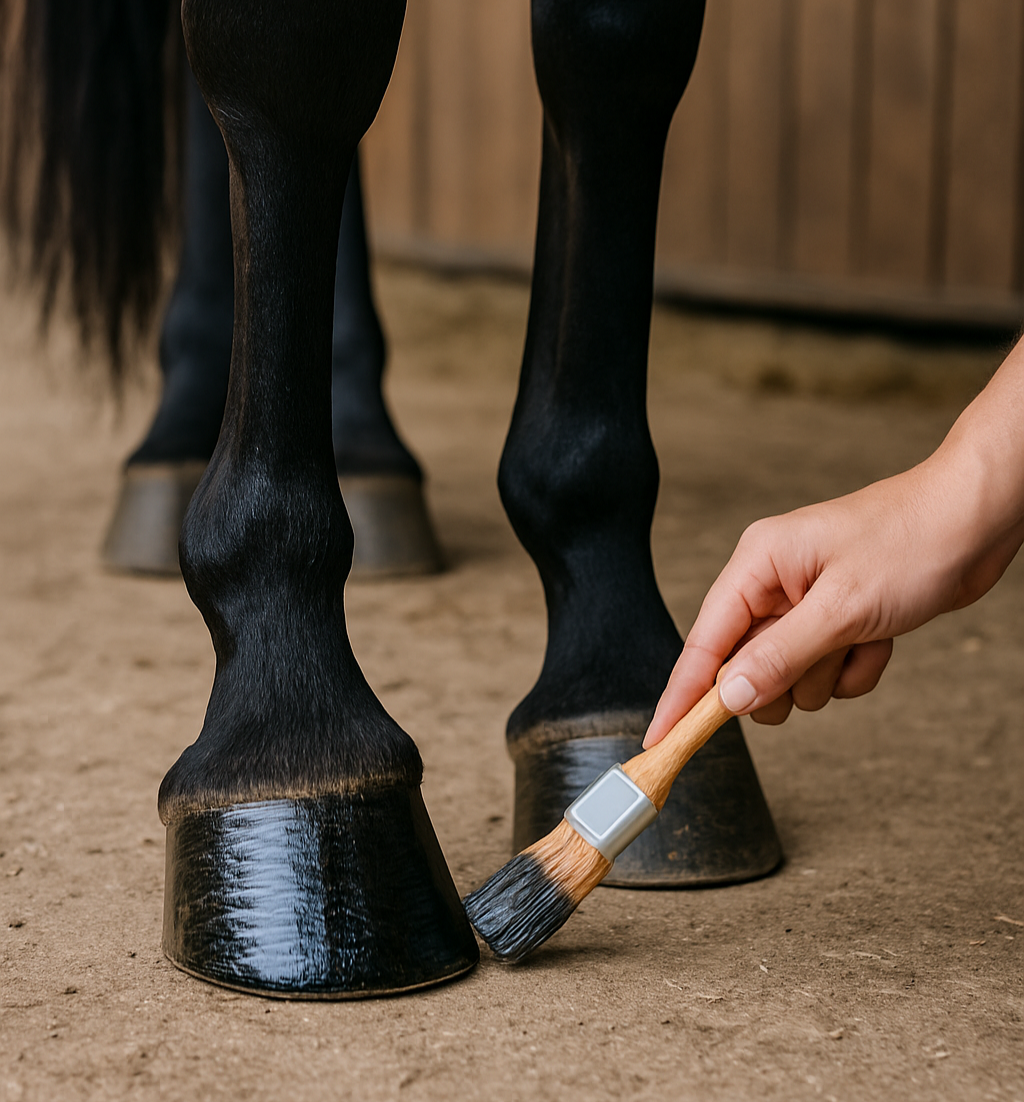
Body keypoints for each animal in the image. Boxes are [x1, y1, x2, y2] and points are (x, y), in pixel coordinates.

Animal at [1, 0, 782, 997]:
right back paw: (177, 437)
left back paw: (366, 441)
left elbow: (611, 54)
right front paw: (295, 737)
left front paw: (619, 675)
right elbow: (292, 72)